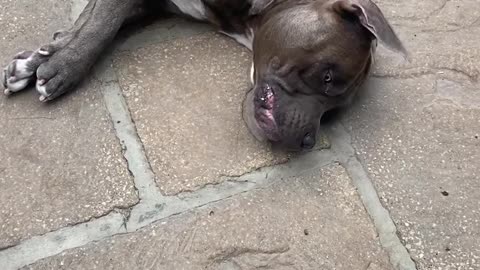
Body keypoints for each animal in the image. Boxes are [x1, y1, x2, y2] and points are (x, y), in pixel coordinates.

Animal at [0, 0, 404, 152]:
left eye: (333, 114)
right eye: (328, 78)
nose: (307, 141)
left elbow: (98, 17)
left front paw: (50, 54)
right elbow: (102, 17)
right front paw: (64, 61)